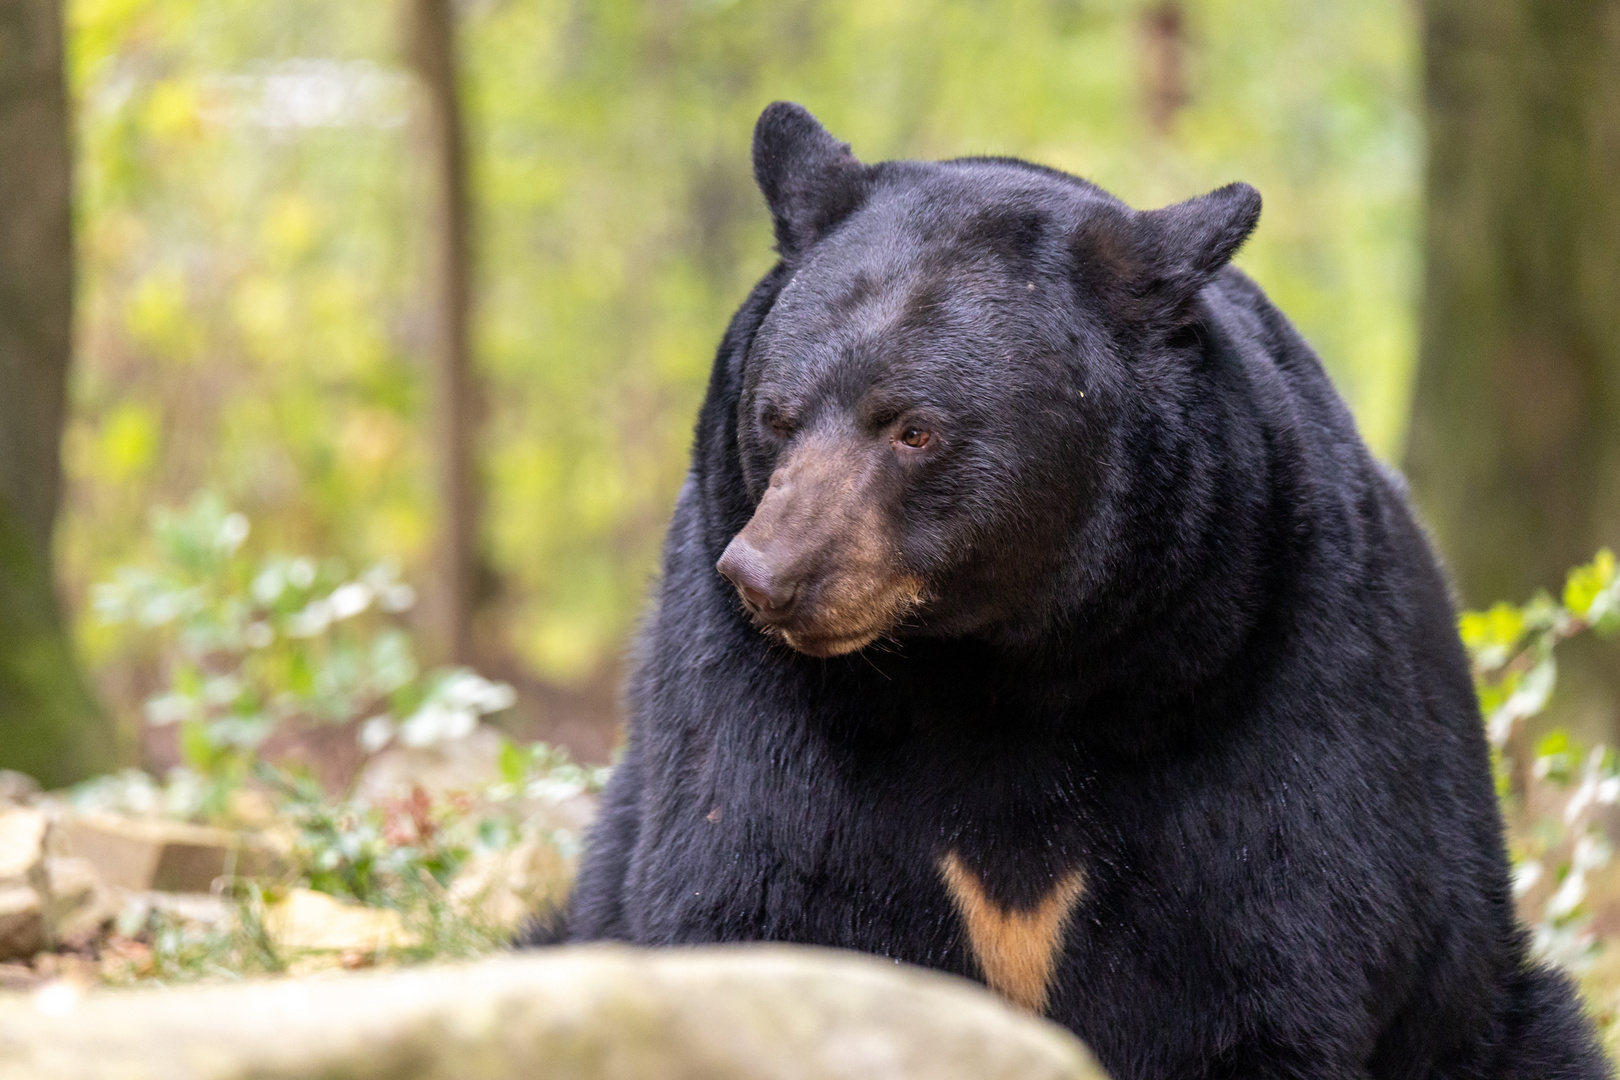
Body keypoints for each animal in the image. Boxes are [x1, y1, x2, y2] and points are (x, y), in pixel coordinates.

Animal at [544, 103, 1607, 1080]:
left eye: (914, 429)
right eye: (777, 414)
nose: (769, 573)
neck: (1001, 668)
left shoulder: (1279, 659)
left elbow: (1272, 942)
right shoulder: (752, 693)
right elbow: (759, 890)